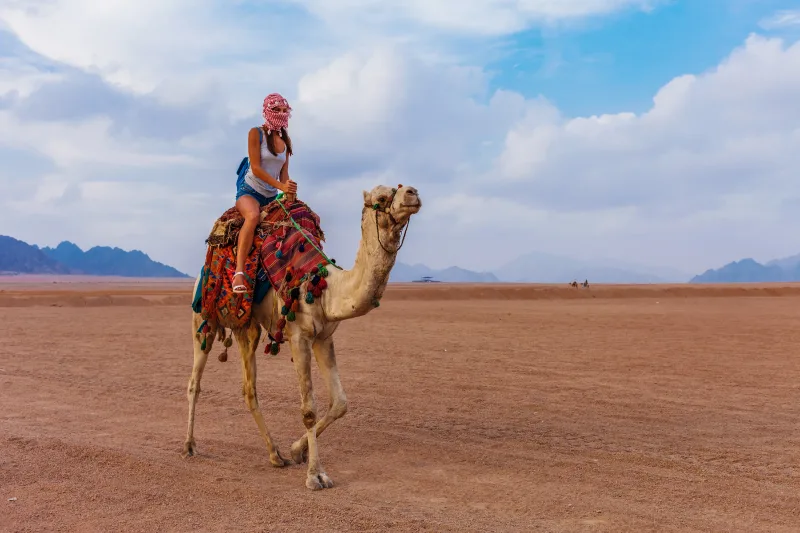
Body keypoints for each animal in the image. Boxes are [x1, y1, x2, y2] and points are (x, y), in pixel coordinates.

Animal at [182, 184, 422, 490]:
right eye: (381, 198)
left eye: (398, 188)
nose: (413, 193)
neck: (325, 286)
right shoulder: (299, 337)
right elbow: (308, 409)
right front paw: (315, 475)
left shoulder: (324, 338)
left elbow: (340, 403)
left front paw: (297, 451)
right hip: (203, 318)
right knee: (195, 382)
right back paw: (189, 445)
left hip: (247, 327)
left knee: (249, 389)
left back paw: (275, 454)